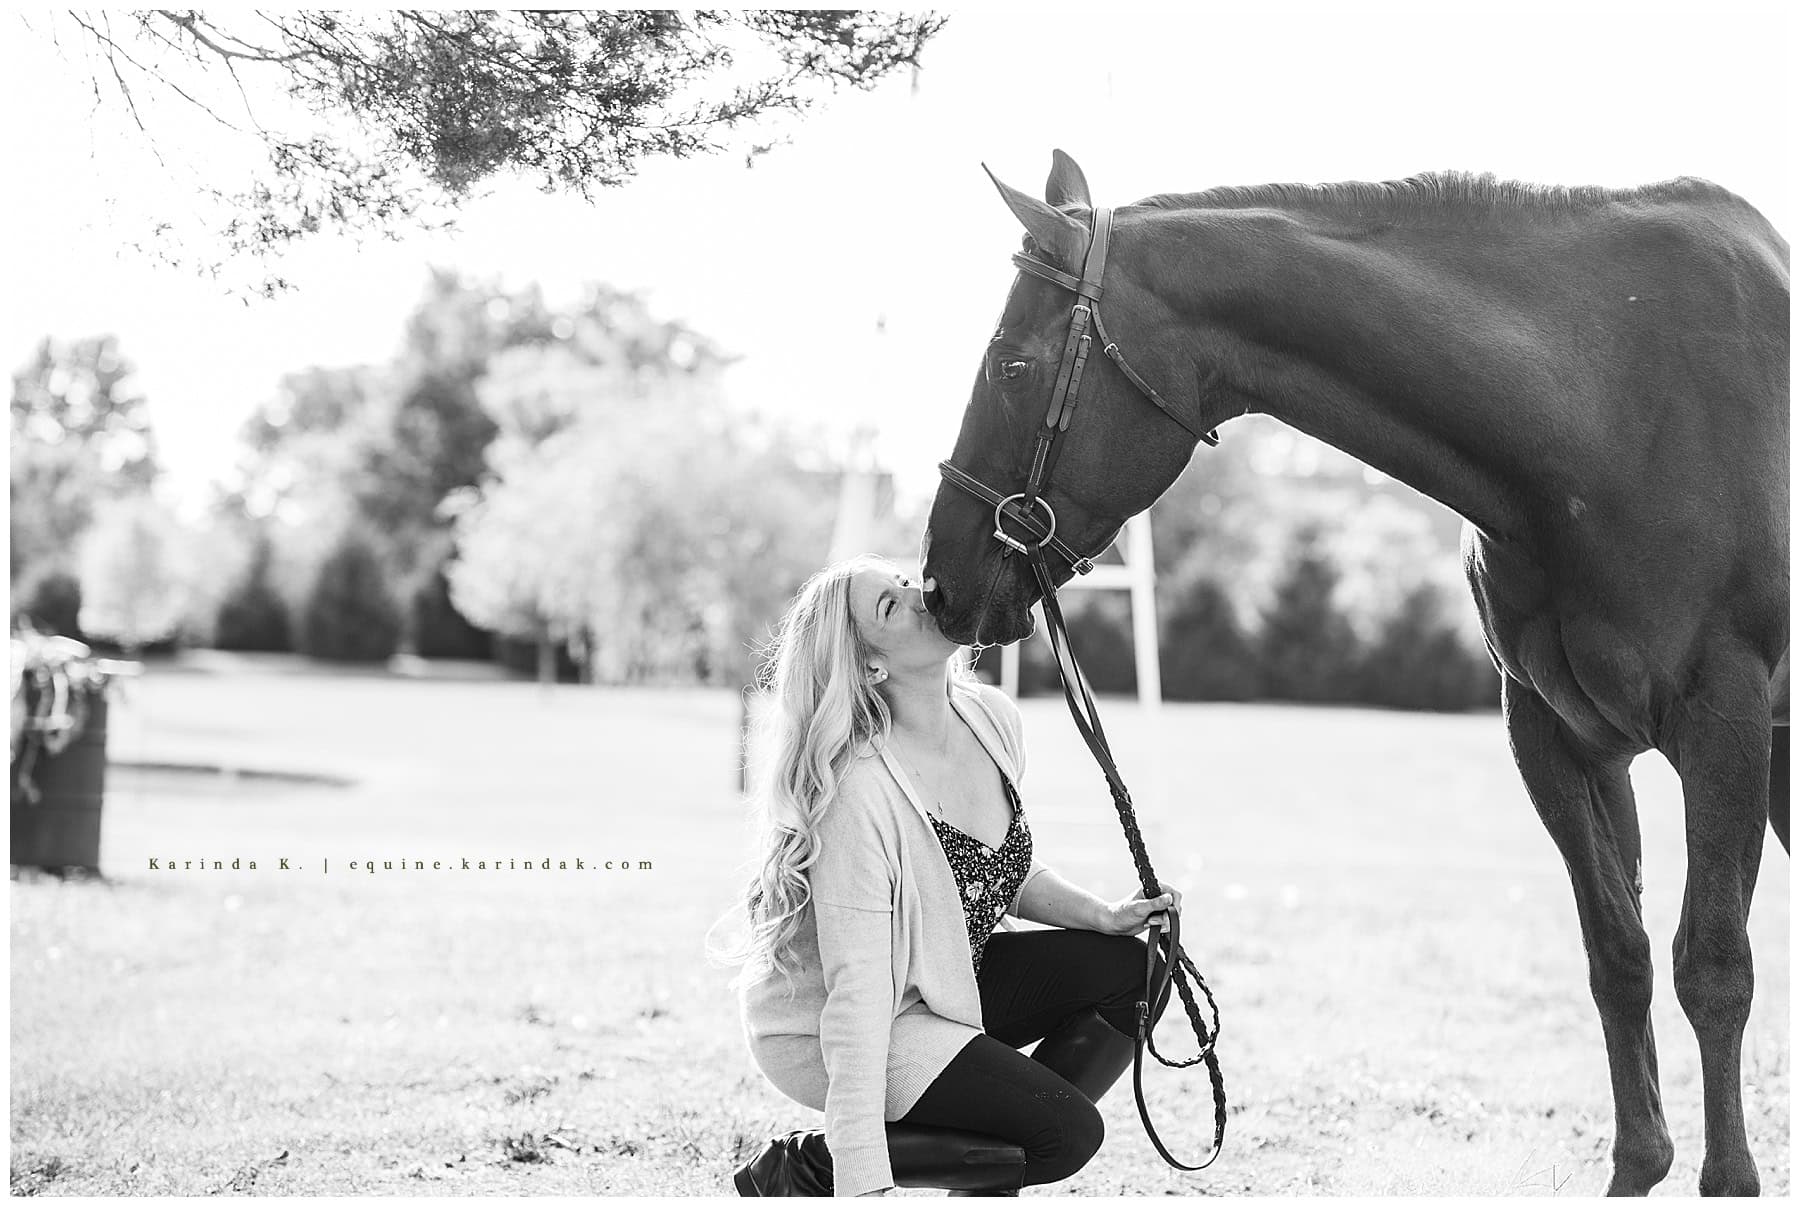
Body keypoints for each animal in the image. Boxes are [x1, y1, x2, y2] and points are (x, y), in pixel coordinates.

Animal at [920, 150, 1789, 1196]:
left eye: (1011, 367)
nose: (940, 580)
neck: (1614, 406)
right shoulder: (1557, 738)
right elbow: (1617, 954)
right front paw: (1640, 1162)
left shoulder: (1723, 725)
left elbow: (1715, 964)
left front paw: (1728, 1176)